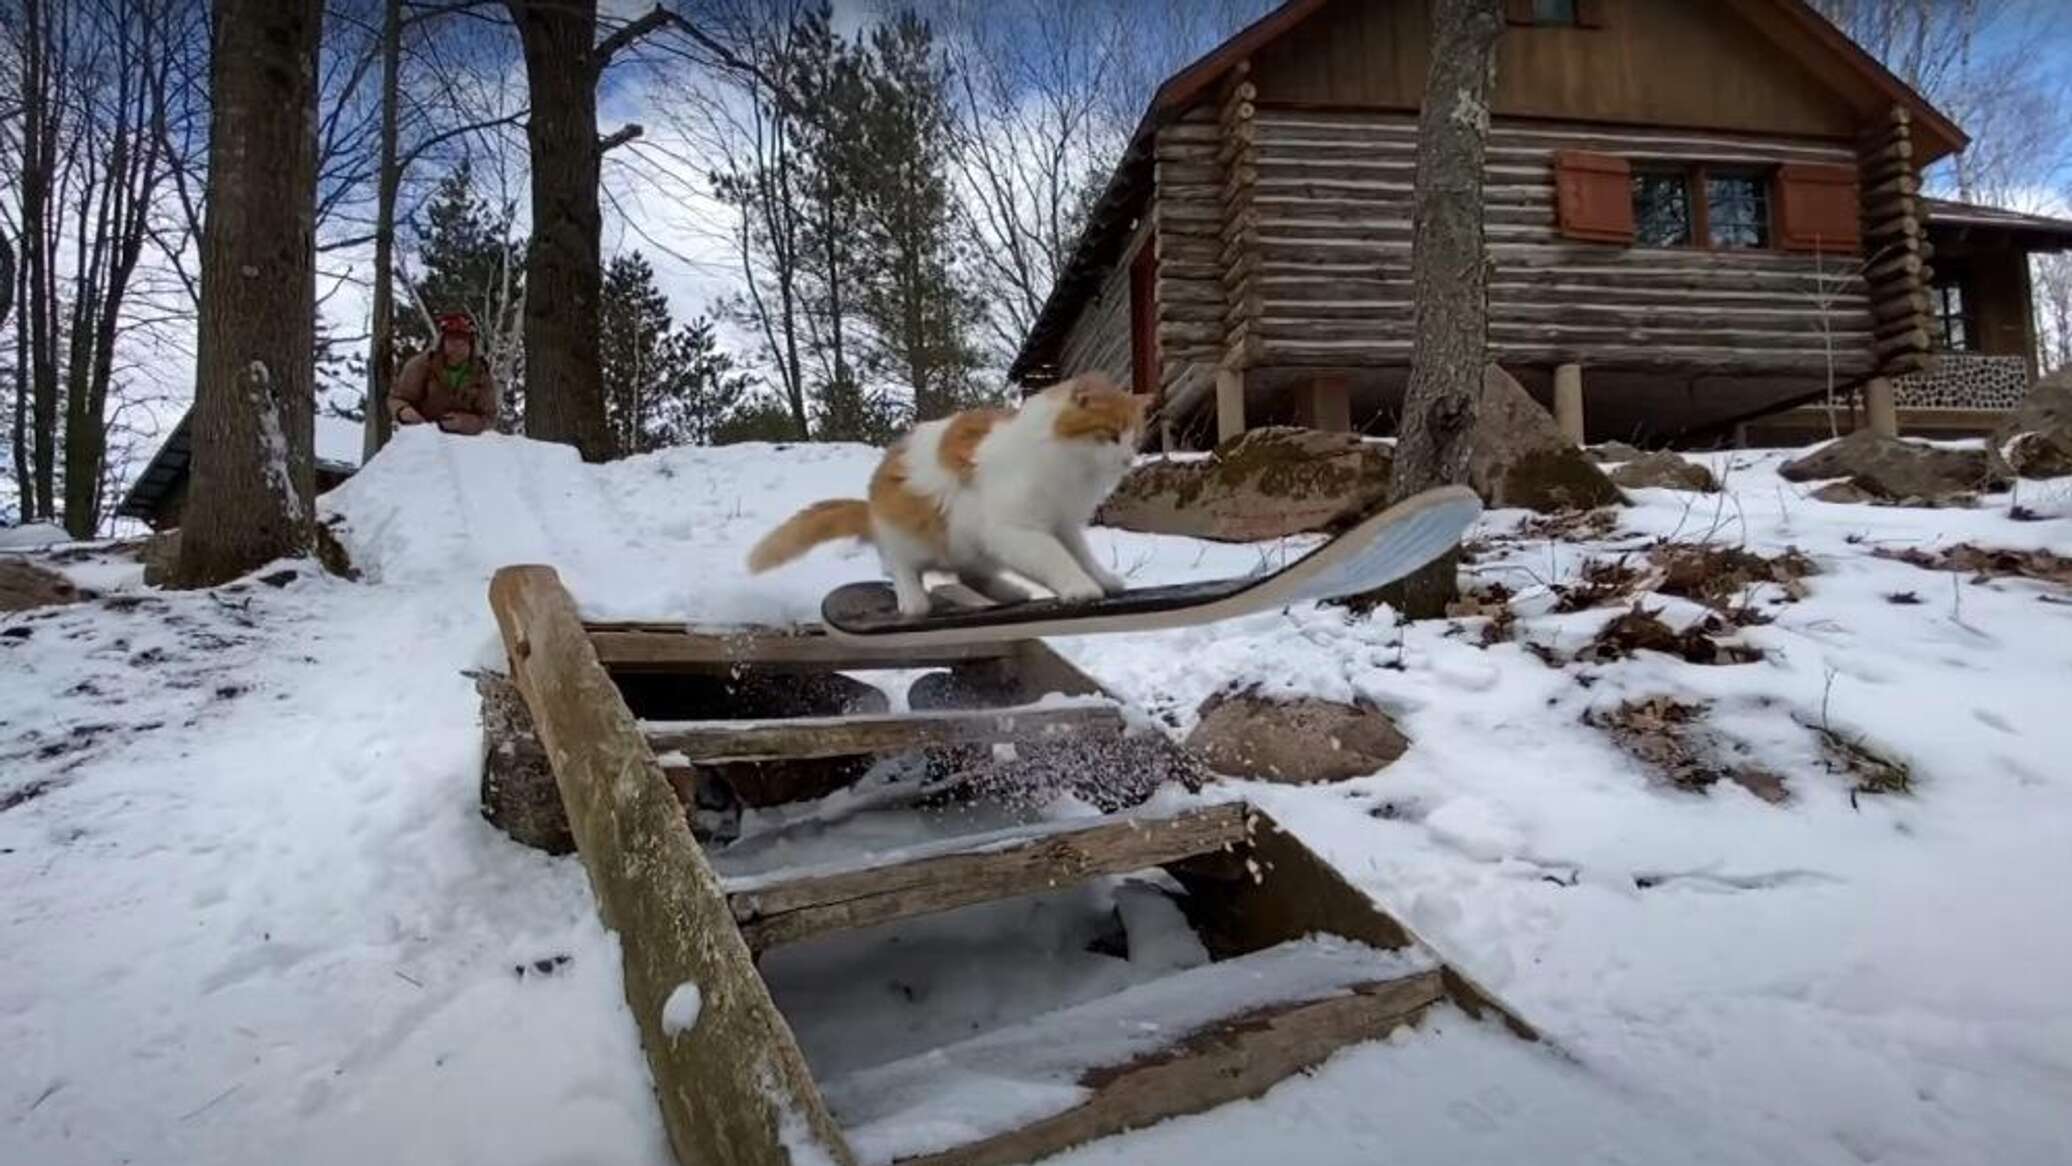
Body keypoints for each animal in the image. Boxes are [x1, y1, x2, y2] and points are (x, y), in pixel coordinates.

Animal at [750, 374, 1152, 617]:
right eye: (1112, 435)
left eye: (1135, 439)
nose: (1128, 459)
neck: (1068, 468)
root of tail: (871, 505)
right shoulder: (1016, 530)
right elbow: (1057, 560)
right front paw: (1080, 588)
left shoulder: (1064, 525)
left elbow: (1083, 557)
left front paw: (1103, 580)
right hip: (909, 537)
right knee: (899, 567)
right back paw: (914, 601)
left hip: (969, 547)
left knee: (969, 576)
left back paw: (1010, 592)